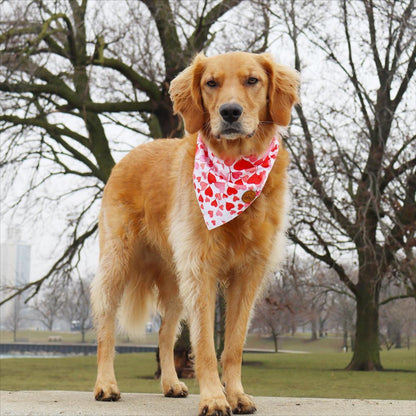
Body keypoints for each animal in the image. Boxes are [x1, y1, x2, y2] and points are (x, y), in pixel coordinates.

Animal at [91, 50, 300, 414]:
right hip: (118, 261)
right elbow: (203, 345)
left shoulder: (248, 273)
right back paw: (106, 384)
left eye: (253, 80)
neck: (235, 165)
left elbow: (233, 345)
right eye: (211, 83)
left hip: (175, 280)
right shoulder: (201, 270)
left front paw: (236, 395)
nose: (230, 112)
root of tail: (129, 155)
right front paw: (215, 398)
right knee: (106, 326)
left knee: (164, 333)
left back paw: (171, 384)